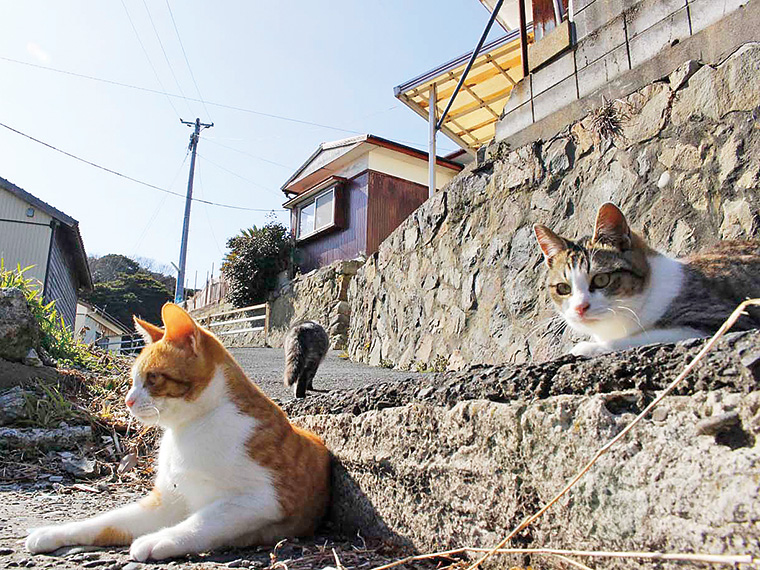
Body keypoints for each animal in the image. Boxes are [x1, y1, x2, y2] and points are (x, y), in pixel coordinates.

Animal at [26, 302, 330, 560]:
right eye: (132, 380)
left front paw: (158, 539)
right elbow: (107, 521)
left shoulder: (265, 498)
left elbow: (204, 520)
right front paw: (52, 532)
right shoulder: (166, 503)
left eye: (152, 378)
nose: (128, 400)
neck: (190, 428)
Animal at [536, 202, 760, 356]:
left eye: (601, 280)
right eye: (563, 288)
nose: (579, 308)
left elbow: (643, 336)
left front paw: (589, 347)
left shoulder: (724, 318)